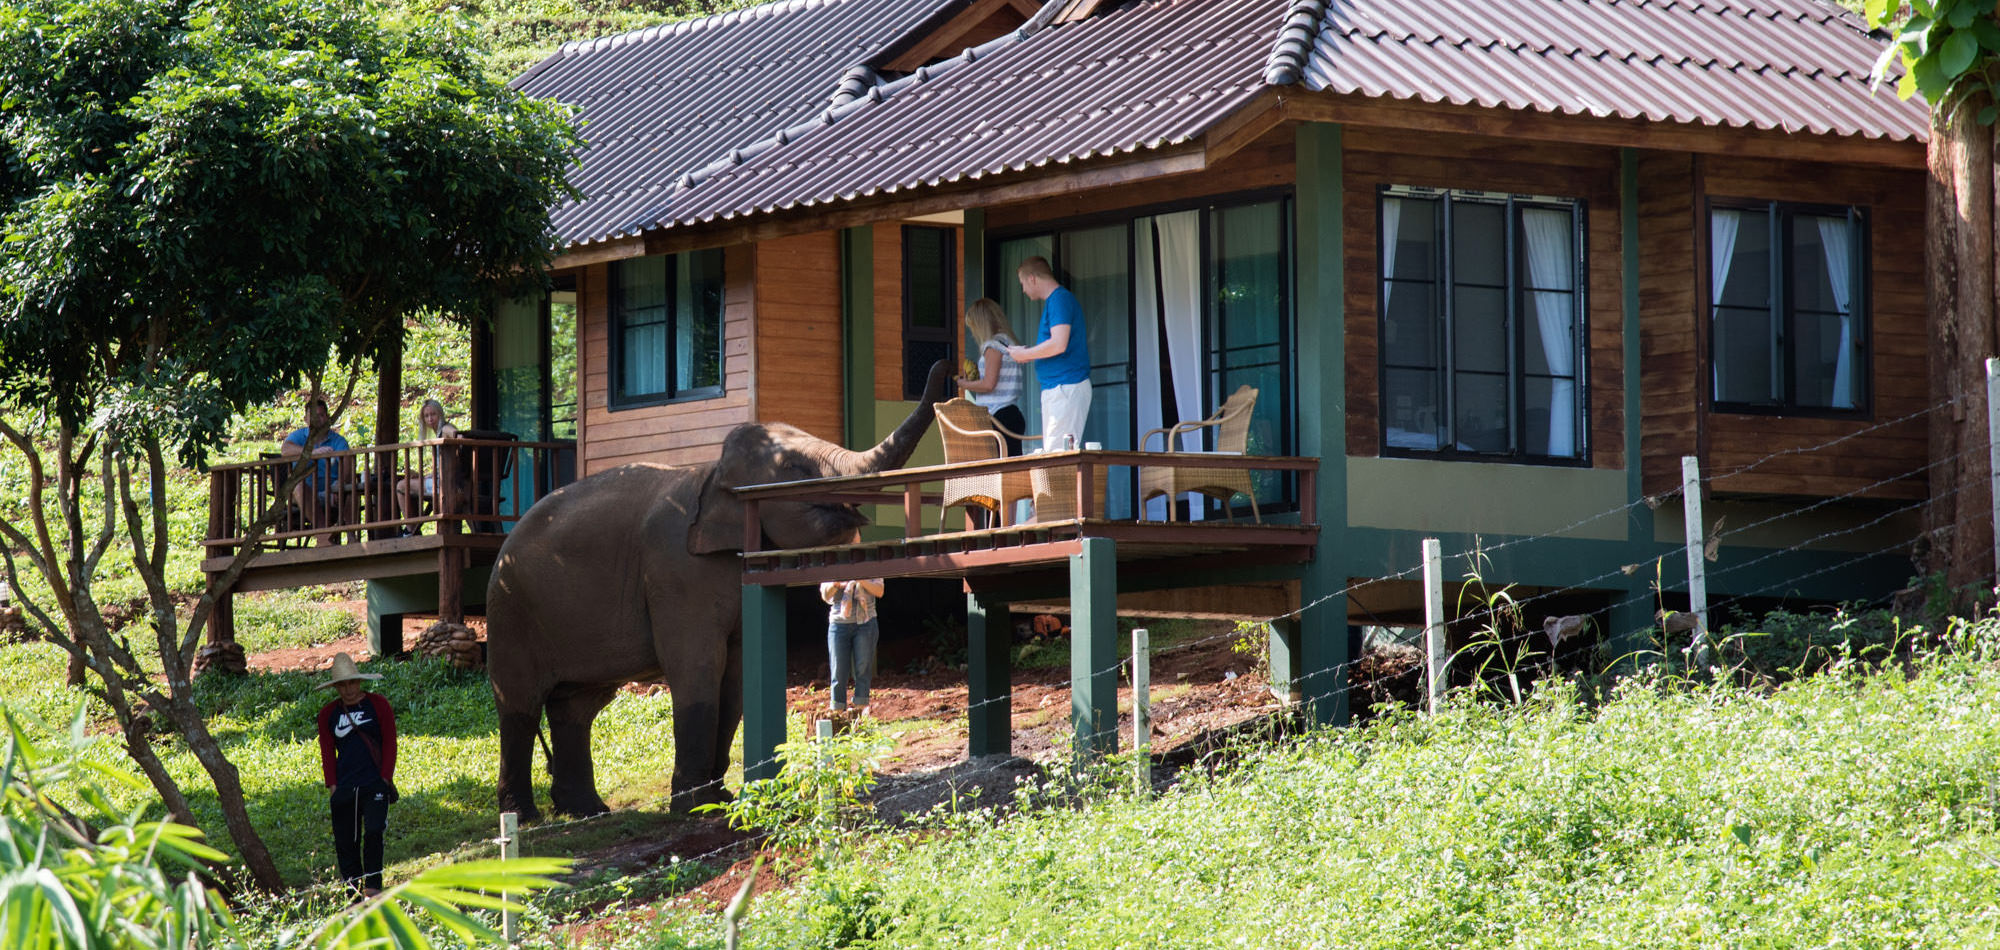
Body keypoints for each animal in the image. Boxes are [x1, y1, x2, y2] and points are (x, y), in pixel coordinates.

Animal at [488, 360, 948, 820]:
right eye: (795, 469)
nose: (945, 369)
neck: (714, 476)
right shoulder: (674, 568)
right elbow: (698, 668)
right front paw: (692, 808)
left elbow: (737, 674)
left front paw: (721, 799)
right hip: (510, 611)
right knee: (520, 705)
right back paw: (524, 816)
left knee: (577, 706)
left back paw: (589, 810)